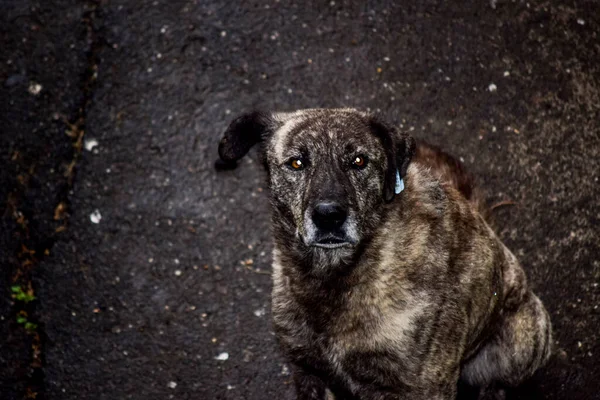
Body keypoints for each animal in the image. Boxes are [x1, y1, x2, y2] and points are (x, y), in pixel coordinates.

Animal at [218, 108, 552, 398]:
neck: (335, 277)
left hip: (522, 341)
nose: (329, 216)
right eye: (297, 163)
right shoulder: (308, 374)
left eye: (358, 160)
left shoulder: (422, 388)